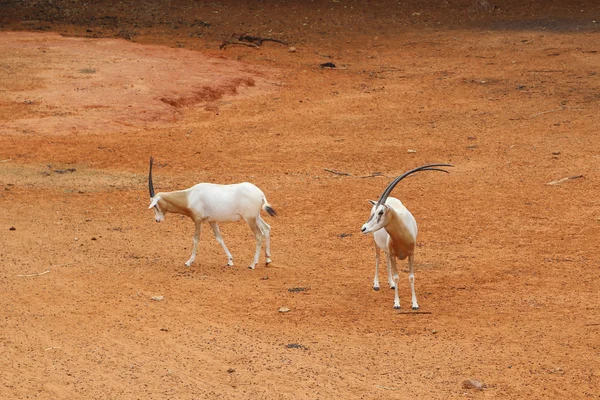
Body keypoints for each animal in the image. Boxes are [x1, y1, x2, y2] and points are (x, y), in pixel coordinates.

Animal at [148, 156, 276, 268]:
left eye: (155, 206)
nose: (157, 220)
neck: (189, 196)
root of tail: (260, 194)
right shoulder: (212, 221)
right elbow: (219, 238)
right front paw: (230, 261)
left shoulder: (198, 221)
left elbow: (196, 239)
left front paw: (189, 261)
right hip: (256, 217)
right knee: (266, 228)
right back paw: (268, 260)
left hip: (250, 219)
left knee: (259, 235)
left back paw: (252, 264)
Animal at [360, 162, 454, 310]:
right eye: (375, 211)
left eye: (380, 212)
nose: (363, 228)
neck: (402, 234)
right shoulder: (394, 255)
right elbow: (397, 276)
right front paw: (397, 303)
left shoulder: (411, 254)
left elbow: (411, 277)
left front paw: (415, 303)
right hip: (376, 243)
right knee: (378, 257)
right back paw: (376, 284)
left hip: (388, 249)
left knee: (385, 258)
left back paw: (391, 284)